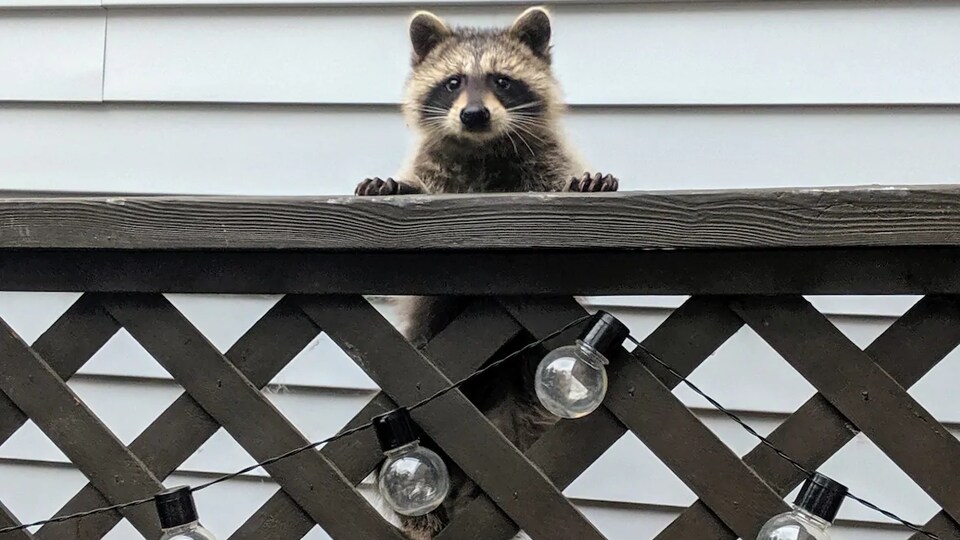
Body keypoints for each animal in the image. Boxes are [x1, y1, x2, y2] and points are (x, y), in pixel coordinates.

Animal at [356, 5, 620, 540]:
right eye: (454, 82)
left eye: (501, 80)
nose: (474, 114)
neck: (482, 148)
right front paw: (394, 185)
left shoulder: (546, 163)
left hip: (524, 408)